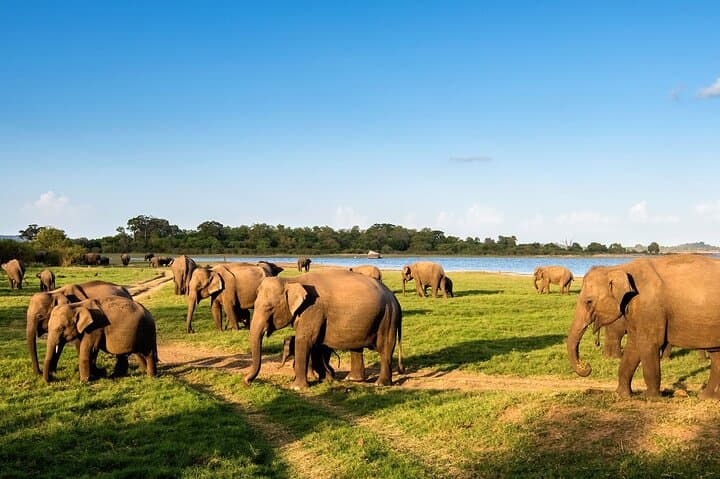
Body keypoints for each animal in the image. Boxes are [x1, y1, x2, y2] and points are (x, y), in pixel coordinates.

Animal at [244, 270, 405, 389]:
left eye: (269, 308)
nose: (247, 382)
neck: (291, 280)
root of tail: (395, 299)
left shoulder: (313, 309)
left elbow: (305, 339)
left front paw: (297, 387)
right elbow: (316, 344)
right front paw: (326, 379)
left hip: (387, 317)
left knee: (385, 347)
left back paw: (380, 384)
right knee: (356, 347)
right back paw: (352, 379)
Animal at [567, 255, 720, 399]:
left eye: (588, 301)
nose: (587, 366)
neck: (619, 267)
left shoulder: (649, 307)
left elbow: (649, 343)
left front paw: (651, 397)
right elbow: (633, 345)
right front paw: (622, 395)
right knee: (716, 354)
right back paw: (707, 397)